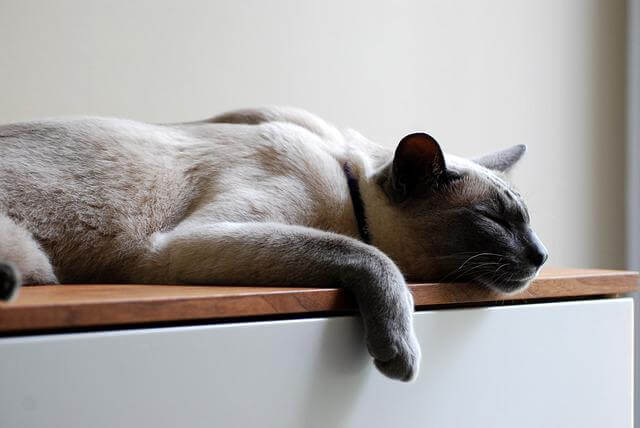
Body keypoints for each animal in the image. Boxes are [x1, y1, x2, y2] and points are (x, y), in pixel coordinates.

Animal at [1, 107, 552, 382]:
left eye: (528, 223)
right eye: (494, 220)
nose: (542, 256)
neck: (345, 186)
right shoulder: (188, 243)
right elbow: (372, 257)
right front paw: (400, 353)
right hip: (37, 253)